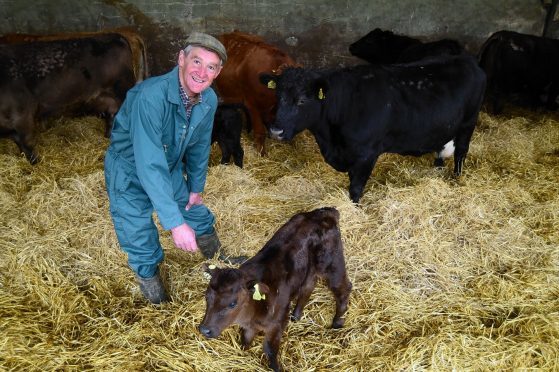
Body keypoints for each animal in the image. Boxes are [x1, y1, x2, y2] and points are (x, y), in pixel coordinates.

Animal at [0, 32, 144, 164]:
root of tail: (117, 35)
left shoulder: (22, 117)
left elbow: (27, 144)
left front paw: (35, 163)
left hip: (123, 89)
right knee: (112, 116)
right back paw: (108, 136)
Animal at [262, 54, 486, 203]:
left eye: (302, 100)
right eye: (277, 96)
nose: (275, 131)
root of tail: (466, 60)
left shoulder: (366, 154)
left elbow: (355, 187)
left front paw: (354, 207)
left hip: (468, 122)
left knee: (461, 152)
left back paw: (456, 177)